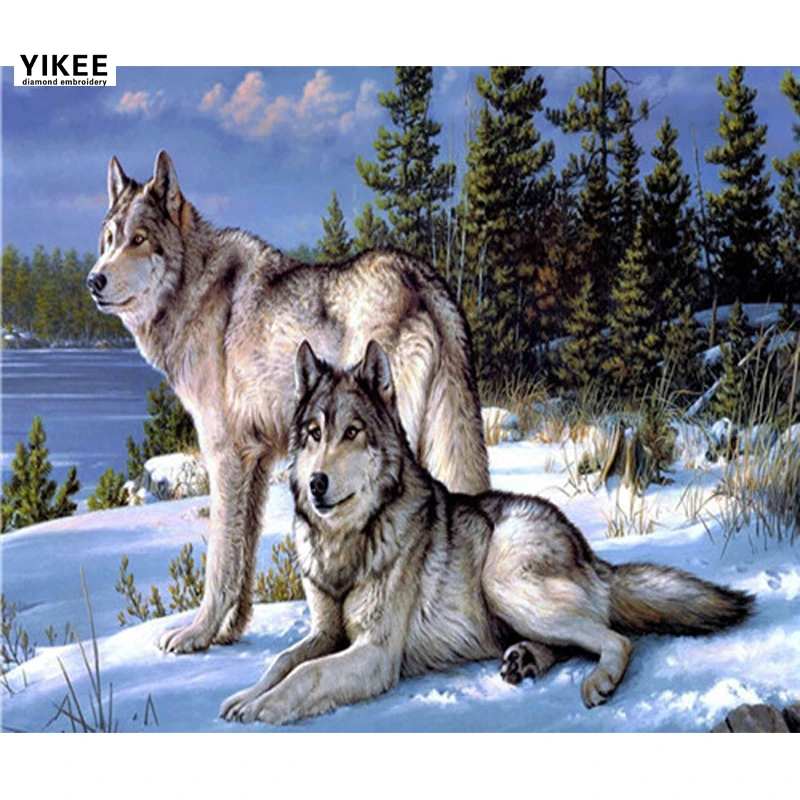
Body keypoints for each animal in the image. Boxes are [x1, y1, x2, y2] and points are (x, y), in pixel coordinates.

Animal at [86, 151, 489, 655]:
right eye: (108, 239)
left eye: (138, 240)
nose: (94, 280)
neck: (193, 291)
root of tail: (422, 278)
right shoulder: (256, 461)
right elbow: (243, 558)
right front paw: (229, 632)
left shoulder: (223, 456)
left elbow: (220, 561)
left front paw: (196, 634)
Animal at [220, 341, 754, 725]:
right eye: (314, 433)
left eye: (352, 432)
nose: (316, 483)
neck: (347, 543)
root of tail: (586, 549)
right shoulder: (325, 632)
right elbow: (282, 662)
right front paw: (245, 695)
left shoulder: (375, 652)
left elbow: (306, 674)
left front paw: (263, 707)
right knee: (574, 640)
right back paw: (525, 661)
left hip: (503, 582)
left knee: (617, 639)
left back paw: (595, 681)